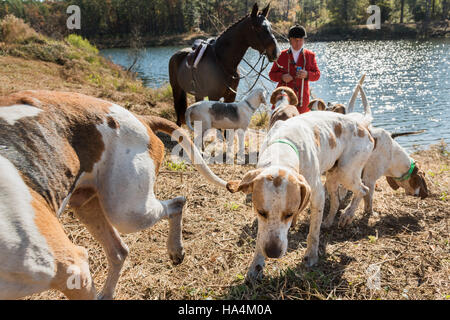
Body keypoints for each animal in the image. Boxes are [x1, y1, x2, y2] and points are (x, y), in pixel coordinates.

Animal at [0, 90, 225, 300]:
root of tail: (141, 117)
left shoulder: (74, 269)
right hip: (87, 205)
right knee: (119, 251)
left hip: (127, 212)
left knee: (177, 203)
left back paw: (175, 248)